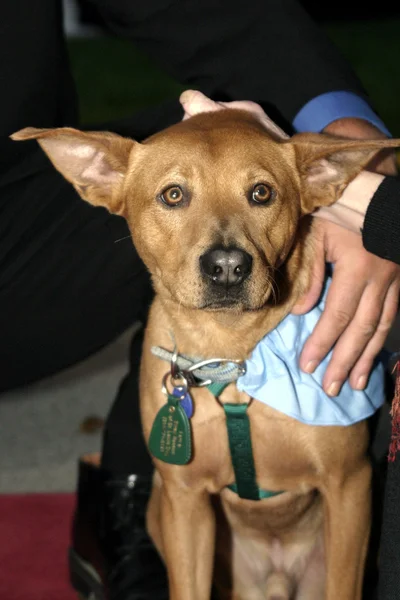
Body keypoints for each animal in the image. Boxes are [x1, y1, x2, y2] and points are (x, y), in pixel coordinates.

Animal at [12, 113, 400, 600]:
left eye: (262, 192)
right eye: (173, 194)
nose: (228, 267)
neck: (234, 357)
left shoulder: (349, 485)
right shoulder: (186, 500)